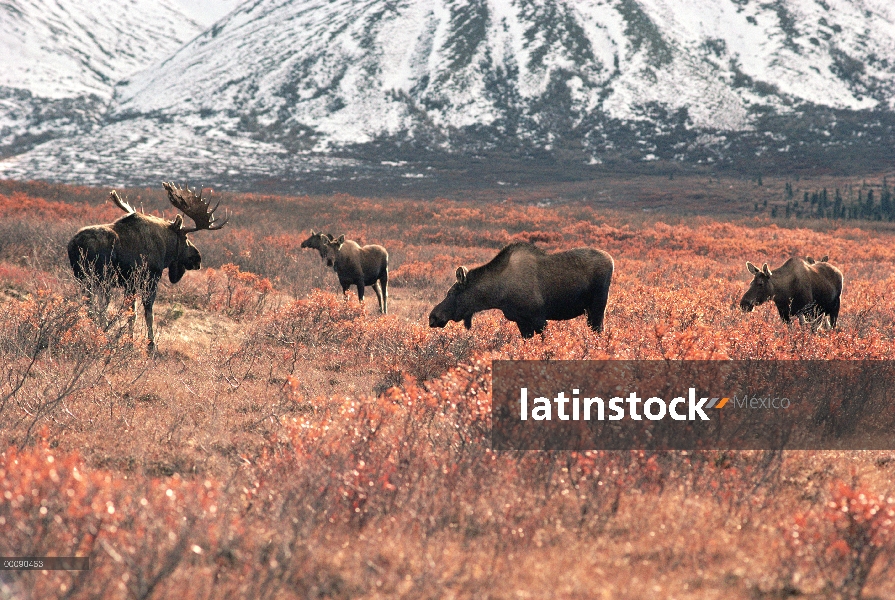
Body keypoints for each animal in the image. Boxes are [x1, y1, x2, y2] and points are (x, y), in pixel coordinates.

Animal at [68, 180, 229, 344]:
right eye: (185, 238)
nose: (198, 258)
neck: (165, 249)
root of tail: (73, 244)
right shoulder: (150, 279)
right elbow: (148, 313)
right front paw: (151, 344)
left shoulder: (130, 284)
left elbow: (131, 313)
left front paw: (130, 341)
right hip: (99, 279)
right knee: (97, 307)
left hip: (83, 278)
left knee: (88, 304)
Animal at [428, 241, 612, 340]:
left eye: (451, 293)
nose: (433, 317)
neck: (498, 295)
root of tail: (612, 260)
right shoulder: (521, 321)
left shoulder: (539, 318)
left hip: (598, 306)